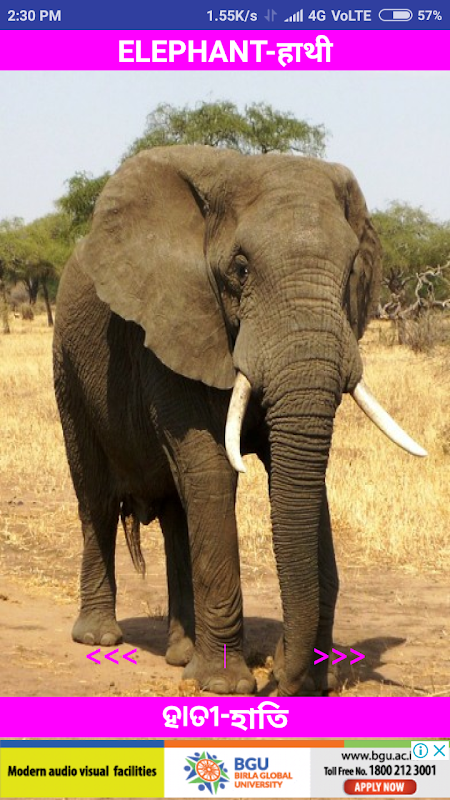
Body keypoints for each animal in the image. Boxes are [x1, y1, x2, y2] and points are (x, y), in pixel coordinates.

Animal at [53, 145, 426, 696]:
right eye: (241, 269)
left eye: (350, 272)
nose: (284, 676)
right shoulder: (173, 325)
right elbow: (212, 468)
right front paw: (223, 687)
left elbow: (293, 475)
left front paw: (316, 679)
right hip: (67, 366)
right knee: (96, 497)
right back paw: (100, 638)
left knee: (176, 513)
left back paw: (179, 653)